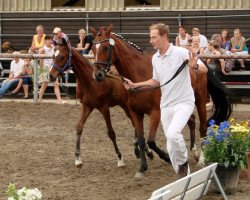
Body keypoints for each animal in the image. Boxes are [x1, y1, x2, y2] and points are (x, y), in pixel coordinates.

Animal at [47, 38, 153, 169]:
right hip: (123, 105)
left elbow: (111, 133)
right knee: (135, 124)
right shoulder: (87, 106)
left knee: (135, 123)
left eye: (62, 56)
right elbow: (79, 127)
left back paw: (145, 150)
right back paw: (139, 149)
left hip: (127, 105)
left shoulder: (104, 108)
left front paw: (120, 158)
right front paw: (77, 158)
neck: (90, 81)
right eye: (53, 56)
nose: (50, 76)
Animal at [89, 24, 232, 178]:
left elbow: (151, 141)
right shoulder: (135, 113)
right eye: (93, 49)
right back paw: (194, 152)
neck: (139, 75)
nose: (97, 75)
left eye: (105, 47)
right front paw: (142, 168)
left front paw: (167, 157)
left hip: (200, 100)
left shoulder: (155, 112)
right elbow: (141, 140)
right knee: (192, 120)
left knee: (203, 127)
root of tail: (199, 60)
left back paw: (202, 159)